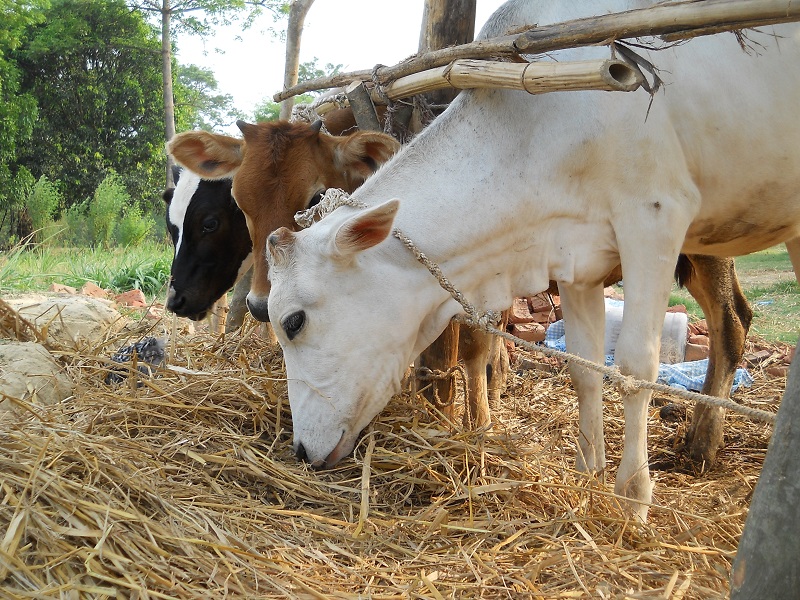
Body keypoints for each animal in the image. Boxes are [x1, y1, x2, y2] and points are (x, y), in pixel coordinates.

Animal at [266, 0, 800, 520]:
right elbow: (585, 366)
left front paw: (632, 495)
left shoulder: (654, 217)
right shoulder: (580, 259)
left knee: (731, 325)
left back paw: (702, 443)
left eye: (293, 321)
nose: (301, 451)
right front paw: (588, 472)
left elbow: (633, 367)